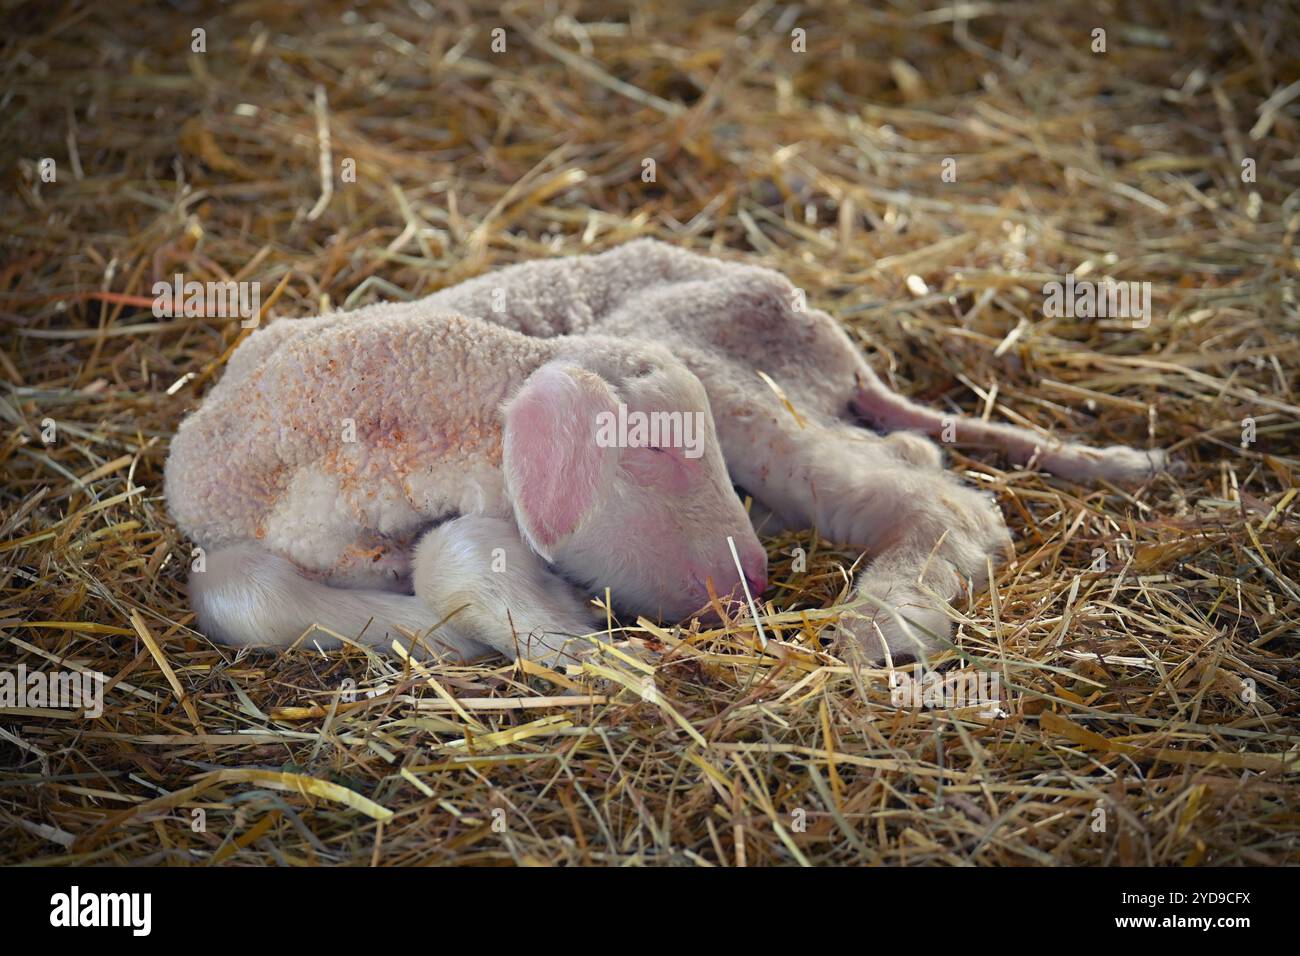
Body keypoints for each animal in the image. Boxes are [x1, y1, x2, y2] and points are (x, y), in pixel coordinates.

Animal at [165, 238, 1170, 665]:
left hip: (736, 377)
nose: (750, 583)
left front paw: (572, 642)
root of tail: (830, 334)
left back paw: (883, 622)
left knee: (945, 502)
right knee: (919, 468)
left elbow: (457, 556)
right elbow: (235, 593)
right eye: (657, 458)